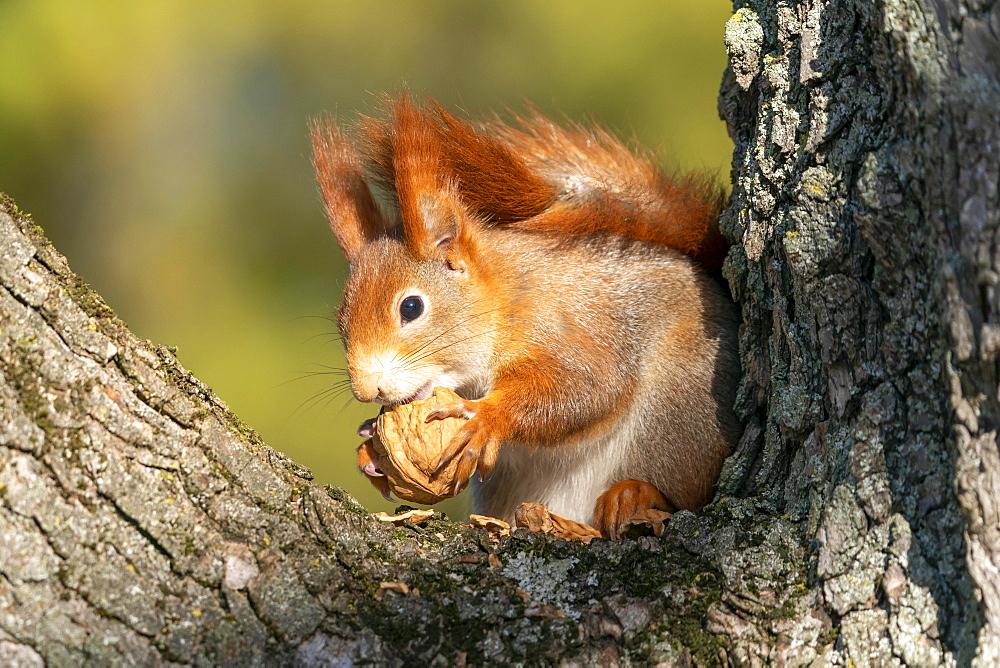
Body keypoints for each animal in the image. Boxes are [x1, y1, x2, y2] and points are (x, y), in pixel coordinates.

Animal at [312, 94, 744, 540]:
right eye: (341, 319)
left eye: (411, 307)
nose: (367, 391)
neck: (504, 297)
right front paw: (370, 448)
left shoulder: (573, 324)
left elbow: (588, 387)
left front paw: (484, 417)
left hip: (678, 411)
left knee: (683, 489)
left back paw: (636, 493)